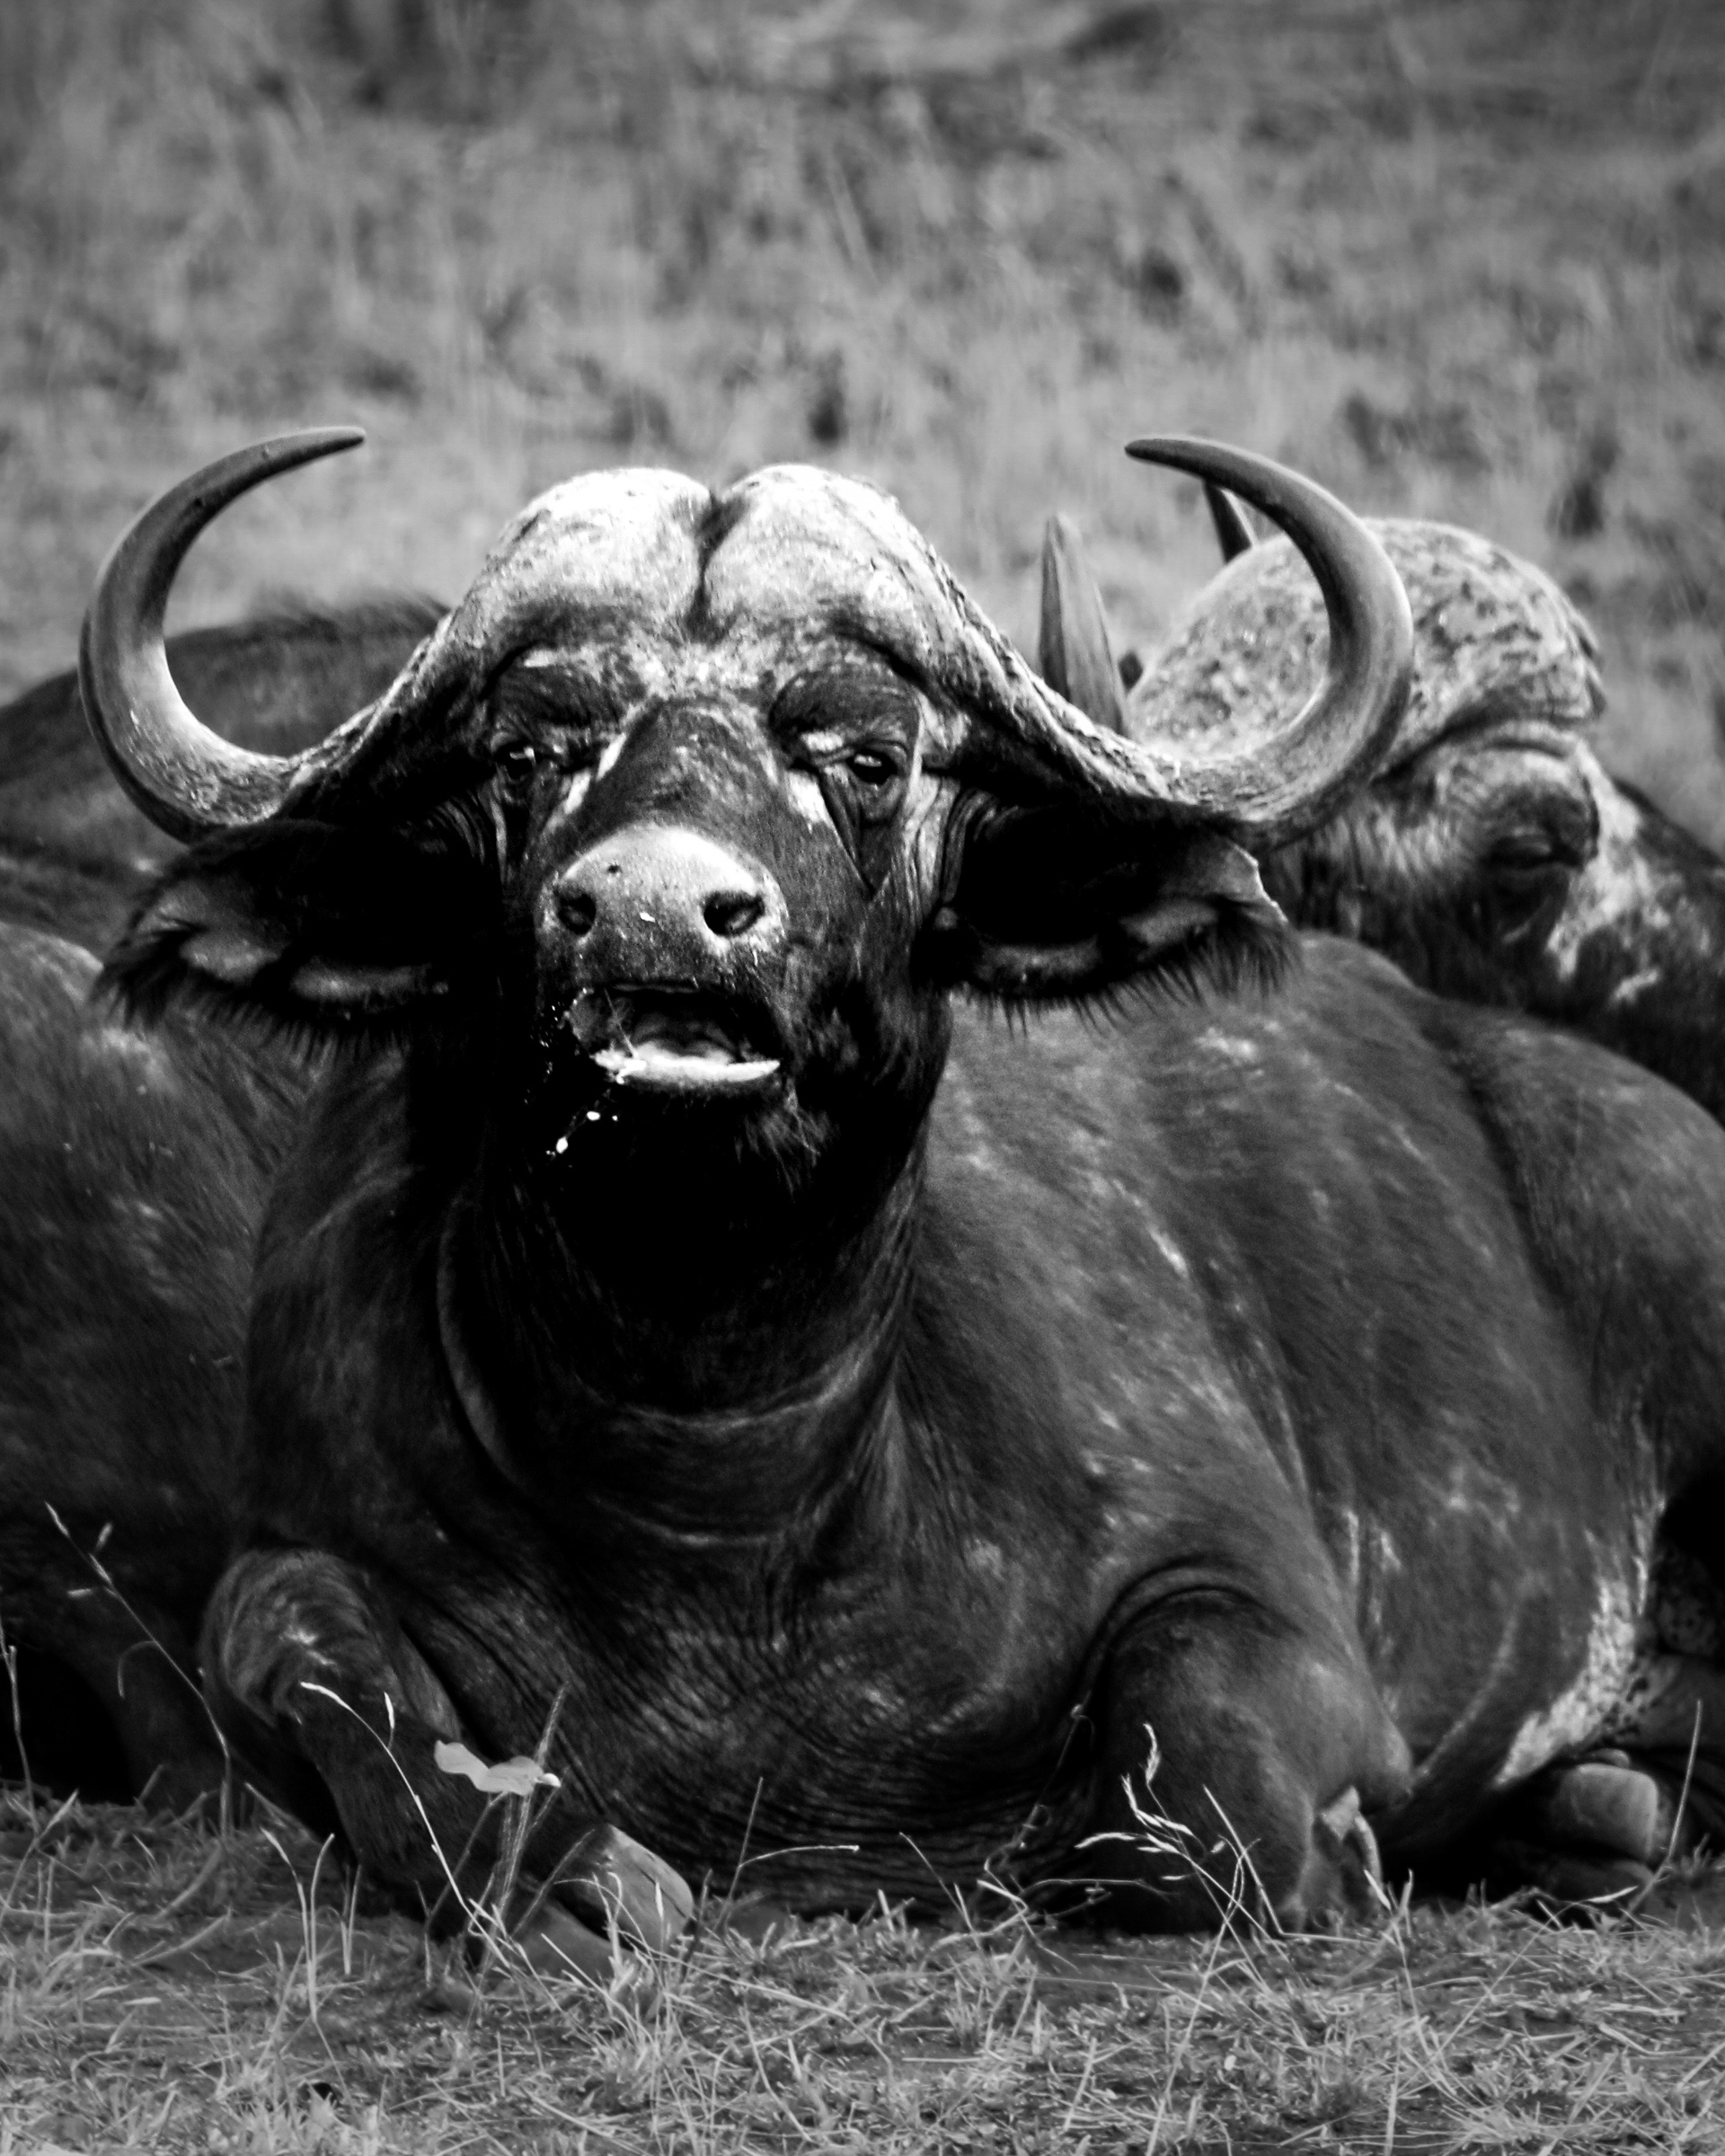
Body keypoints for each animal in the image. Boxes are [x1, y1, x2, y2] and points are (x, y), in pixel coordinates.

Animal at [6, 428, 1725, 1950]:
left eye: (866, 757)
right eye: (529, 754)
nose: (654, 913)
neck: (715, 1493)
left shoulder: (1256, 1601)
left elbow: (1201, 1802)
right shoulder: (269, 1554)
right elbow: (309, 1654)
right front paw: (559, 1865)